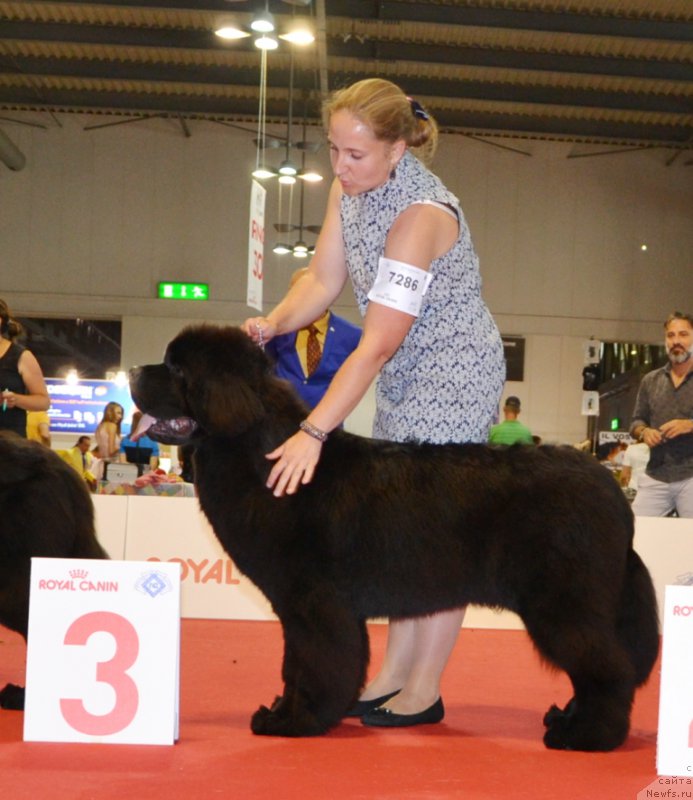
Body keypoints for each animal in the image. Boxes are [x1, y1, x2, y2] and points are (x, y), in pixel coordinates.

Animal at [131, 324, 660, 752]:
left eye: (176, 366)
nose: (133, 369)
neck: (261, 452)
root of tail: (609, 486)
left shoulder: (314, 604)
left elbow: (312, 664)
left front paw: (293, 721)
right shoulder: (304, 608)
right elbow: (298, 664)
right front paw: (292, 710)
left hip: (563, 604)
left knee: (608, 668)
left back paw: (588, 735)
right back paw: (567, 718)